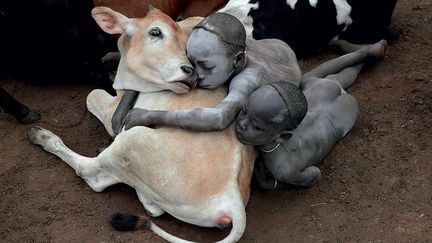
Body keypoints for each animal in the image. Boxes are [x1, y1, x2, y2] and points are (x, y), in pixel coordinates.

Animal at [27, 5, 255, 243]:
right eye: (155, 32)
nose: (189, 72)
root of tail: (232, 197)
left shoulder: (113, 112)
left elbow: (92, 95)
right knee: (153, 208)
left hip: (129, 142)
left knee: (90, 173)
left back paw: (43, 137)